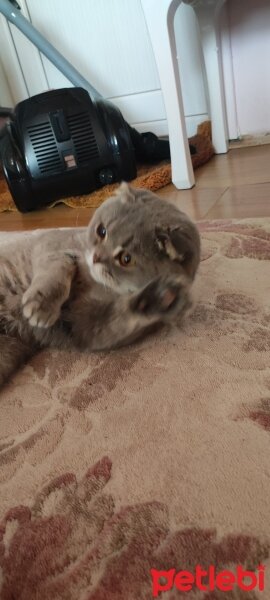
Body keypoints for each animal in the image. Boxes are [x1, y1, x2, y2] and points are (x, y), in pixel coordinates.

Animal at [0, 185, 200, 386]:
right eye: (101, 231)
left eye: (126, 259)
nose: (96, 257)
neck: (92, 281)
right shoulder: (52, 246)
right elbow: (57, 269)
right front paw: (41, 306)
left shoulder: (84, 323)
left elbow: (119, 317)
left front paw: (164, 298)